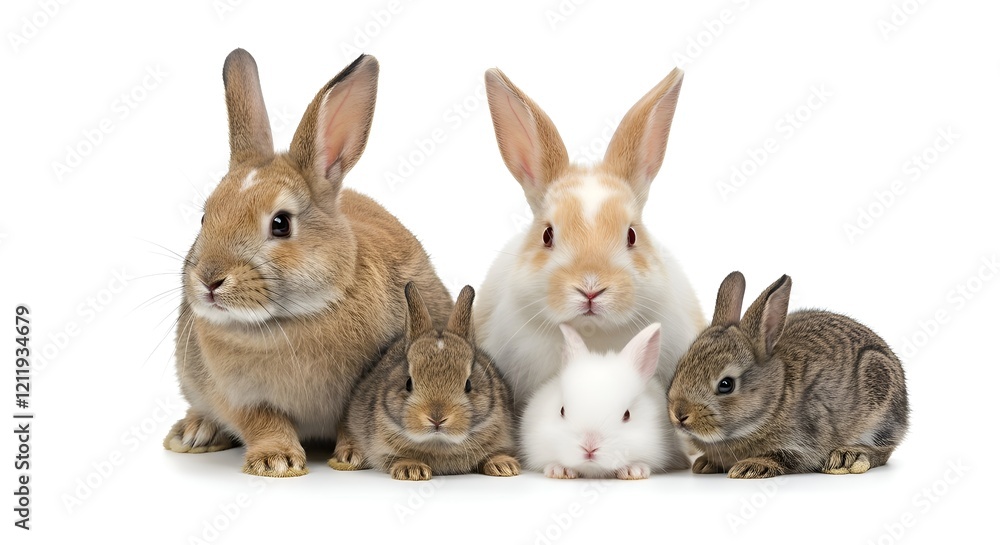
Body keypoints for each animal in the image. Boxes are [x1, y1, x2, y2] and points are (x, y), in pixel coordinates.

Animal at [162, 49, 453, 477]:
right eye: (204, 218)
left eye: (280, 223)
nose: (210, 281)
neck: (287, 322)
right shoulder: (239, 396)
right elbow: (263, 422)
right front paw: (277, 461)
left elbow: (352, 420)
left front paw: (352, 457)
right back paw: (193, 432)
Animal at [329, 284, 520, 480]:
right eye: (408, 383)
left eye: (468, 384)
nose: (436, 418)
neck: (439, 442)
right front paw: (412, 470)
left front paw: (504, 466)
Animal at [668, 272, 910, 479]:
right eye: (680, 367)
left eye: (726, 384)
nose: (679, 414)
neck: (776, 400)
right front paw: (706, 463)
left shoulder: (805, 440)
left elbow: (786, 457)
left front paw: (751, 467)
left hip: (879, 402)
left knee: (884, 450)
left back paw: (848, 458)